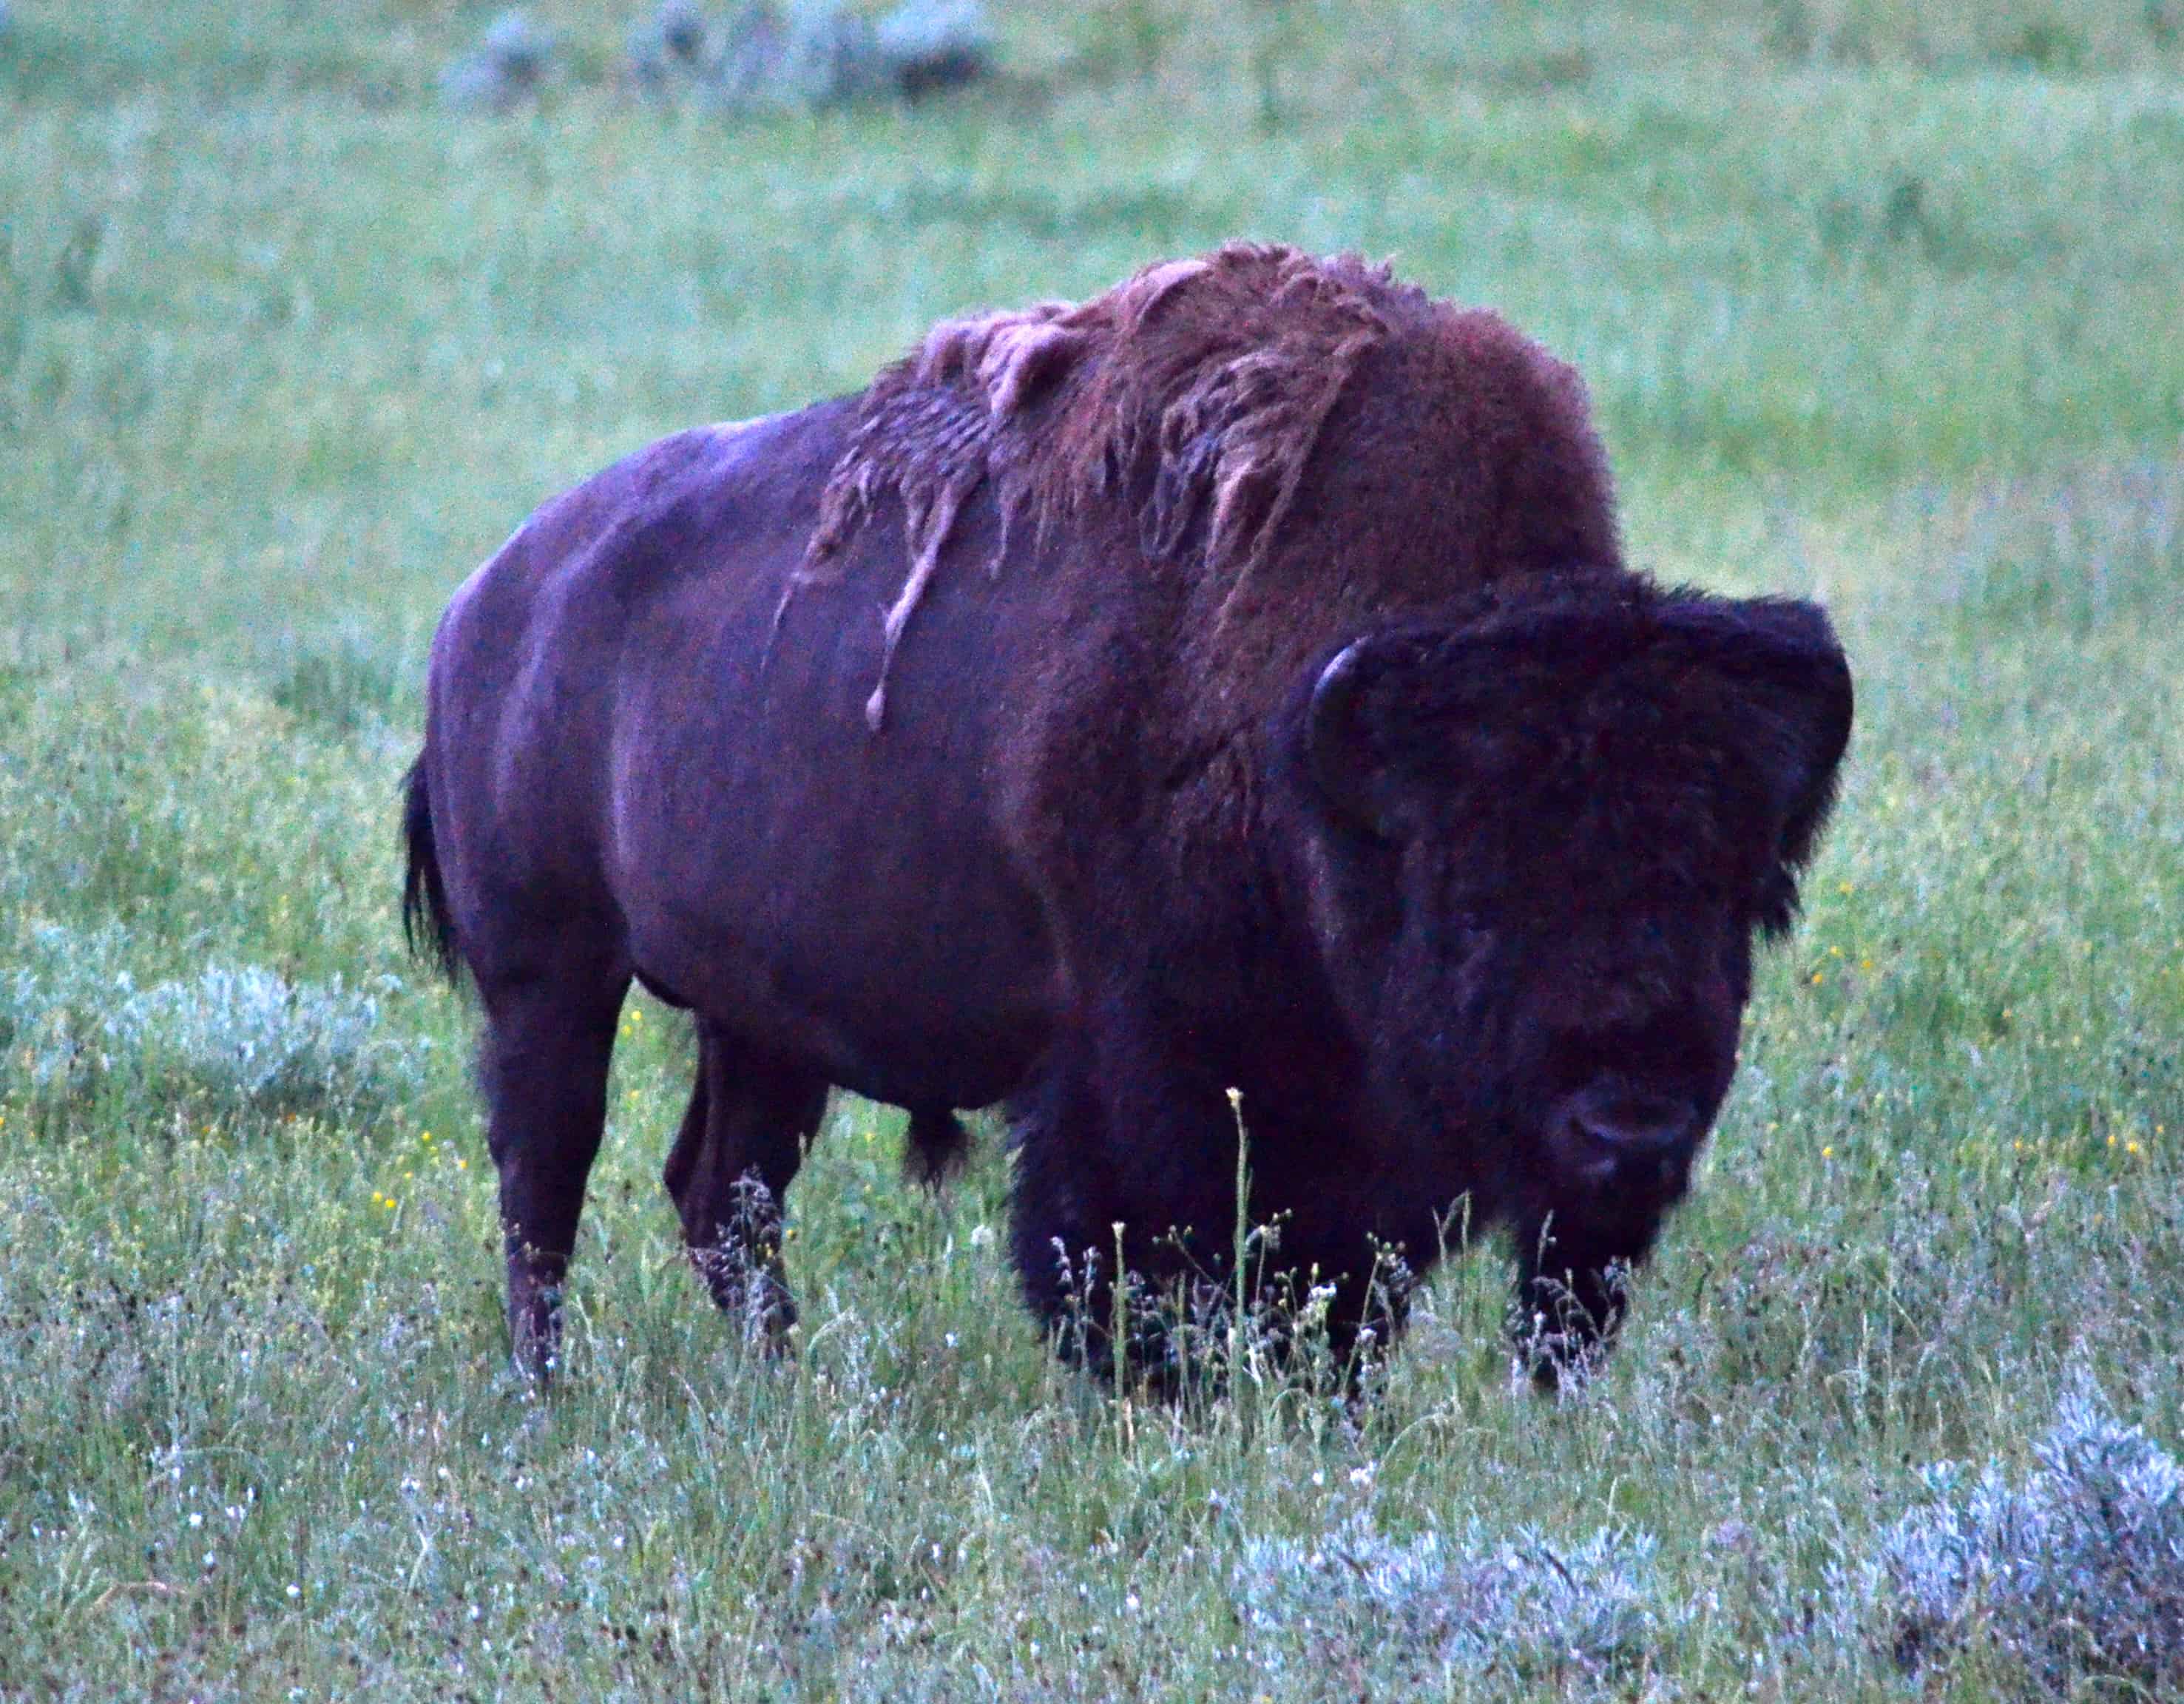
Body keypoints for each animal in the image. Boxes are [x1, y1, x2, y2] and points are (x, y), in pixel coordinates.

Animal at [402, 243, 1851, 1389]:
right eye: (1479, 893)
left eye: (1733, 893)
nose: (1631, 1129)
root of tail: (485, 605)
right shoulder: (1144, 1067)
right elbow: (1142, 1255)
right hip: (550, 977)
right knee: (544, 1178)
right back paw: (551, 1387)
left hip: (757, 1018)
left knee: (724, 1196)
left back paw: (783, 1384)